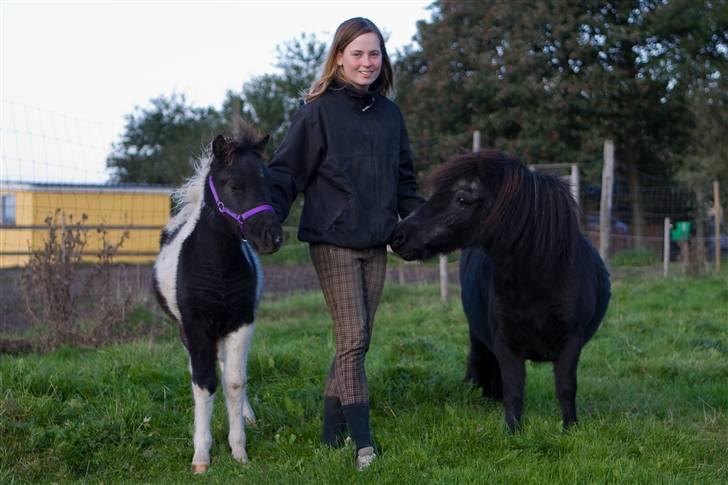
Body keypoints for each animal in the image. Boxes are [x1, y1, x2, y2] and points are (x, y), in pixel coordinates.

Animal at [151, 127, 282, 468]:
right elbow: (203, 383)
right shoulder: (195, 327)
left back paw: (248, 416)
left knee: (226, 368)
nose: (272, 237)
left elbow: (234, 382)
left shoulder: (241, 322)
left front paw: (239, 450)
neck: (216, 265)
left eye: (269, 184)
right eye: (234, 185)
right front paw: (201, 456)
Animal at [390, 149, 612, 430]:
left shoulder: (570, 343)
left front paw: (569, 428)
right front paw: (512, 430)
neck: (540, 282)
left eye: (461, 198)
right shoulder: (506, 343)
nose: (398, 236)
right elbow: (514, 389)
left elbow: (565, 387)